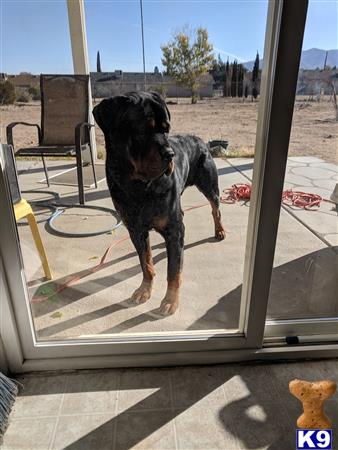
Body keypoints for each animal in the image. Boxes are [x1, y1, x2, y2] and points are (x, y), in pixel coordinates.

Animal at [93, 91, 224, 314]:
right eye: (142, 130)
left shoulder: (172, 227)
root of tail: (202, 140)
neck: (138, 186)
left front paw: (170, 300)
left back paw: (220, 230)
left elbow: (173, 271)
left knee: (215, 209)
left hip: (209, 185)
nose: (170, 154)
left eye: (166, 130)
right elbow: (146, 263)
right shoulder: (135, 230)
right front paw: (144, 289)